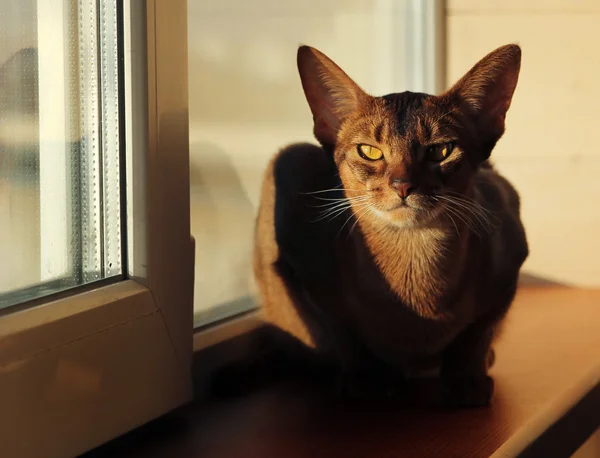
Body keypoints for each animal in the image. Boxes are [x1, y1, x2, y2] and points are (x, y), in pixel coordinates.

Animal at [213, 43, 528, 408]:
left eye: (440, 151)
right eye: (369, 151)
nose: (403, 186)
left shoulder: (510, 244)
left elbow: (480, 330)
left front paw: (465, 377)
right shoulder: (306, 272)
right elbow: (342, 332)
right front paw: (368, 379)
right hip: (289, 158)